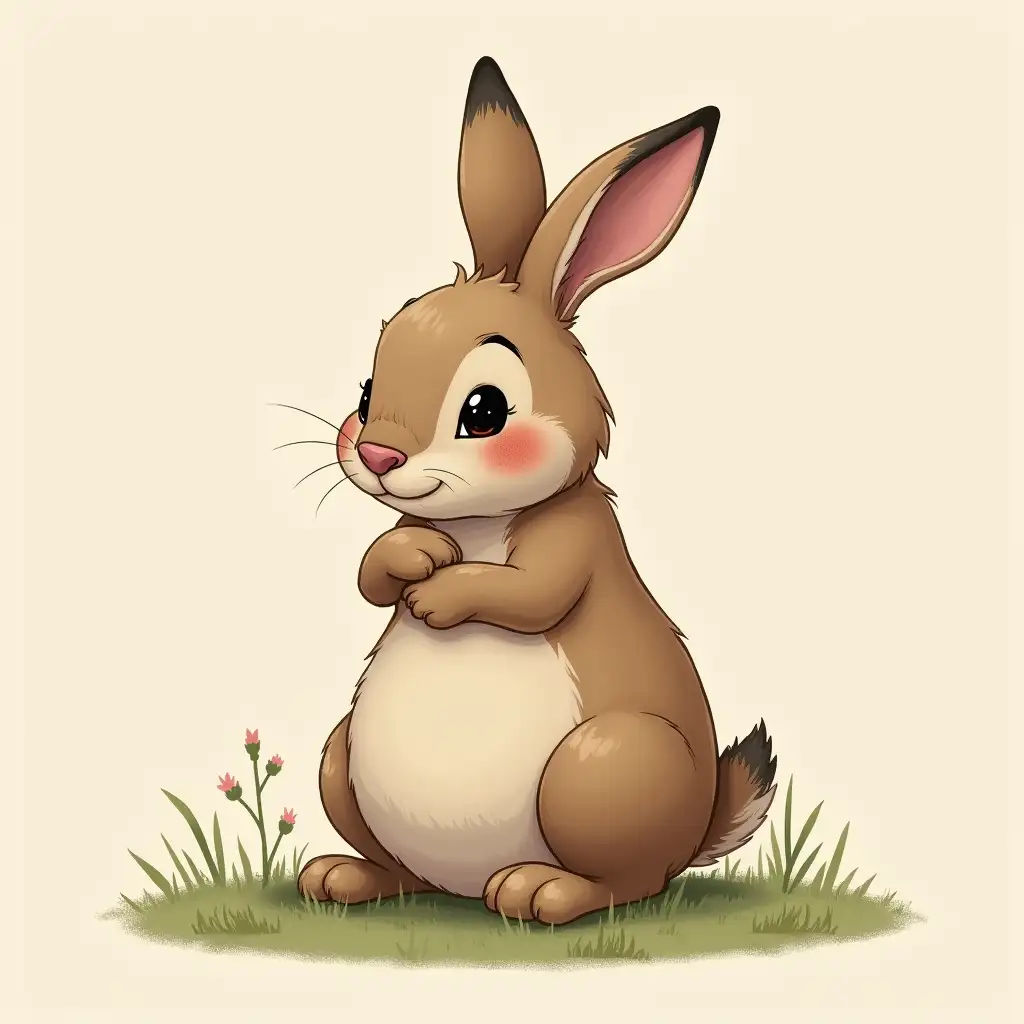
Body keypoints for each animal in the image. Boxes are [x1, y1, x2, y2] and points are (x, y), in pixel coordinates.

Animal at [296, 56, 777, 926]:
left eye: (485, 410)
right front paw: (414, 560)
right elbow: (372, 571)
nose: (377, 453)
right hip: (339, 758)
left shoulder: (574, 541)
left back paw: (537, 891)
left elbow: (531, 594)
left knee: (629, 882)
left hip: (603, 767)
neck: (481, 521)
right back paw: (344, 878)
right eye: (366, 389)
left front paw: (439, 597)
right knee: (406, 871)